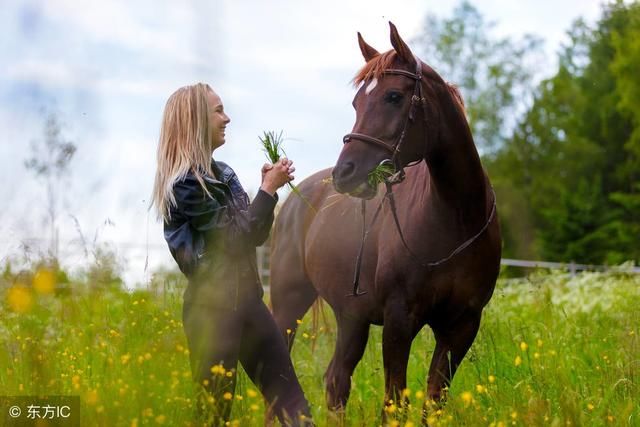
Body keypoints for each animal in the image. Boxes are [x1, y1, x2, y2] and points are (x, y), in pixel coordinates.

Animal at [268, 22, 500, 414]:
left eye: (393, 96)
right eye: (356, 102)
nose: (345, 172)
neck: (455, 218)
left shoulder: (462, 325)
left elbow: (433, 402)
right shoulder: (398, 320)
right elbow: (395, 402)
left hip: (351, 317)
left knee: (336, 381)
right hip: (289, 304)